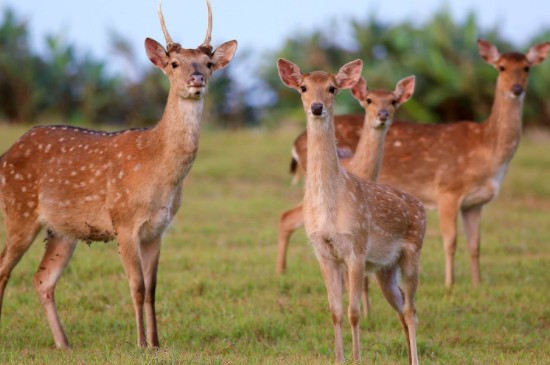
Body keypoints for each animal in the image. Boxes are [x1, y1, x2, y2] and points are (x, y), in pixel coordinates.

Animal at [0, 0, 235, 346]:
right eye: (174, 63)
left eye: (207, 63)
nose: (197, 79)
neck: (159, 173)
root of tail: (6, 154)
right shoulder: (124, 221)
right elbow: (136, 287)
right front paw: (140, 343)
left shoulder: (157, 230)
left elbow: (152, 289)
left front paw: (157, 343)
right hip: (19, 210)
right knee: (4, 270)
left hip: (61, 230)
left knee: (42, 278)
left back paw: (64, 344)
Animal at [280, 38, 550, 288]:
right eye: (501, 67)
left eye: (527, 67)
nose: (517, 88)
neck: (487, 148)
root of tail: (295, 143)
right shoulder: (448, 190)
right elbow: (450, 241)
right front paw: (450, 284)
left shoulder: (475, 203)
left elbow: (475, 244)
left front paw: (477, 284)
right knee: (287, 217)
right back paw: (281, 272)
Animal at [280, 58, 426, 362]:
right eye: (303, 87)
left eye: (332, 88)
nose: (317, 107)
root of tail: (421, 207)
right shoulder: (323, 252)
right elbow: (335, 311)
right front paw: (338, 358)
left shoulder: (356, 247)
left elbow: (354, 312)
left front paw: (357, 358)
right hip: (386, 269)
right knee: (402, 308)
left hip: (413, 251)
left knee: (411, 310)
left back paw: (415, 359)